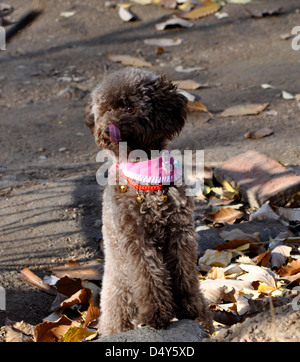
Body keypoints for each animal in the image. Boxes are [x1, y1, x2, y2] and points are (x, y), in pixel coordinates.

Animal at [85, 68, 214, 336]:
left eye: (130, 108)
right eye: (104, 111)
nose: (106, 131)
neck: (146, 177)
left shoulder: (180, 233)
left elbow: (185, 275)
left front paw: (190, 308)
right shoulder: (135, 238)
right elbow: (149, 277)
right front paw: (157, 315)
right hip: (120, 299)